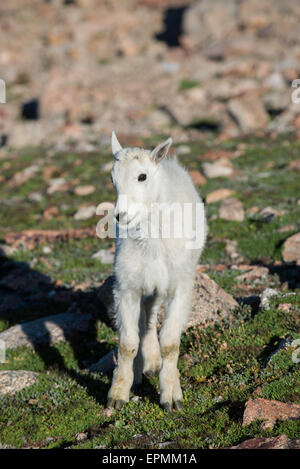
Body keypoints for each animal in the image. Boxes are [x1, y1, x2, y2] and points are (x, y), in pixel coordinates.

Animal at [108, 131, 206, 410]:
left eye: (142, 176)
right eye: (112, 178)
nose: (120, 215)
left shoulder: (180, 287)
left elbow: (170, 344)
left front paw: (171, 397)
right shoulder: (126, 287)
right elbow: (127, 344)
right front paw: (118, 394)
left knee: (151, 317)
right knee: (146, 320)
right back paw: (145, 367)